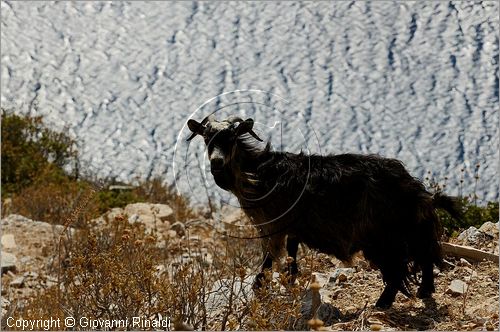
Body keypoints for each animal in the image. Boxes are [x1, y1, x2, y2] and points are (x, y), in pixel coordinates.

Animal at [187, 116, 460, 308]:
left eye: (231, 138)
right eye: (207, 138)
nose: (216, 162)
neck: (257, 172)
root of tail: (417, 190)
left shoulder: (273, 225)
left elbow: (268, 259)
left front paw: (259, 286)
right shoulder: (291, 228)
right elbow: (292, 254)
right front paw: (290, 281)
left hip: (385, 235)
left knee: (399, 269)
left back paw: (383, 303)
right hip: (410, 229)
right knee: (425, 254)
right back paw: (424, 290)